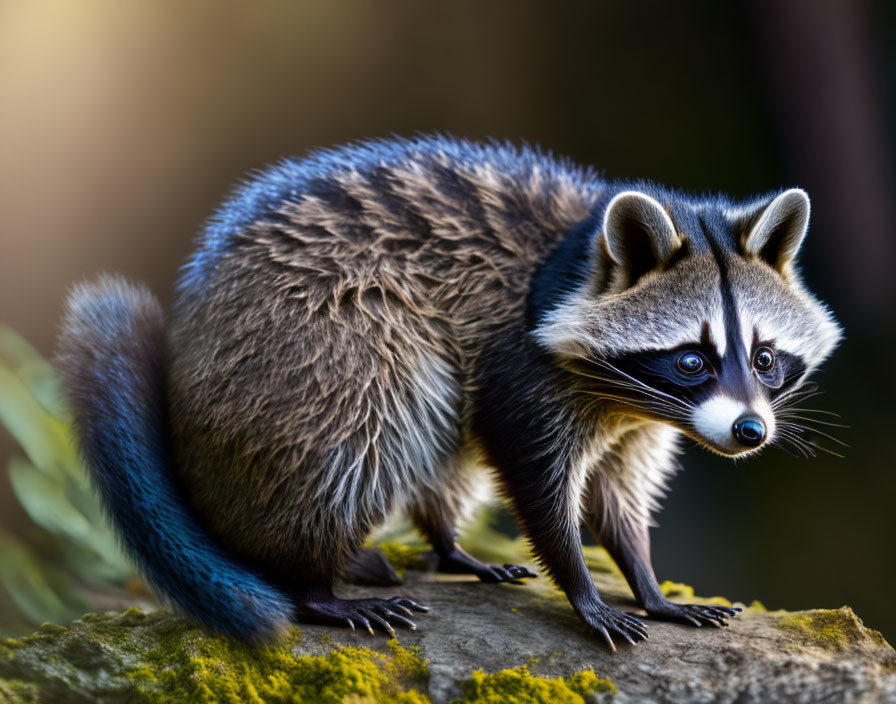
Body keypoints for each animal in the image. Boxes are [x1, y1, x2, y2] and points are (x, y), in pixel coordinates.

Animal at [56, 136, 840, 648]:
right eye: (691, 360)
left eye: (766, 359)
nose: (750, 432)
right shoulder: (520, 362)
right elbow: (535, 478)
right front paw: (582, 587)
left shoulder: (638, 423)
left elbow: (617, 497)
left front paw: (645, 579)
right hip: (313, 344)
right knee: (373, 415)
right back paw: (312, 583)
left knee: (437, 442)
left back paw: (447, 545)